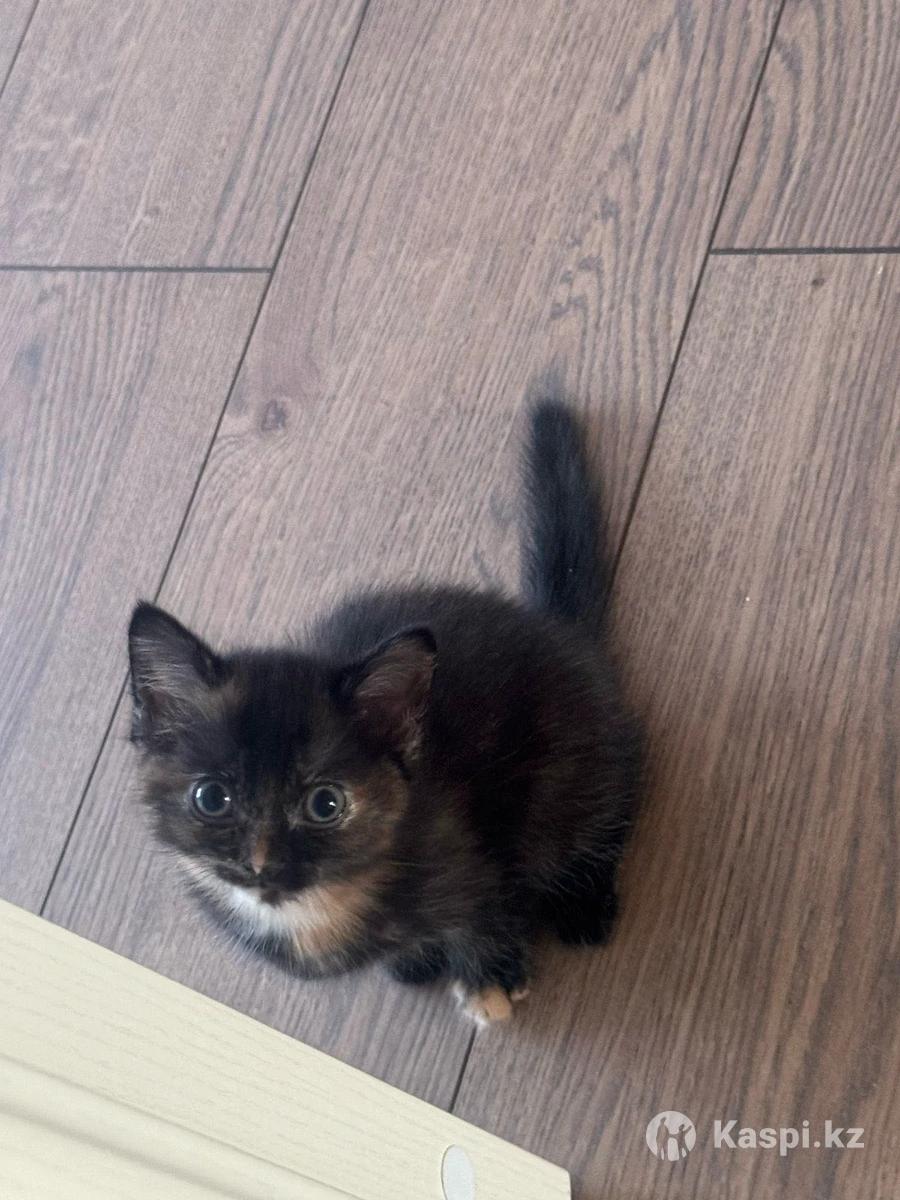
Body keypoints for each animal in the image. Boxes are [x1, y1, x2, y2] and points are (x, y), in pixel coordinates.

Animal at [128, 400, 642, 1025]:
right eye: (211, 798)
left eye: (325, 804)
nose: (261, 863)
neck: (320, 908)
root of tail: (553, 627)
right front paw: (416, 959)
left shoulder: (470, 855)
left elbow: (483, 913)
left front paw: (489, 976)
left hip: (568, 766)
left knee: (610, 801)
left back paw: (584, 904)